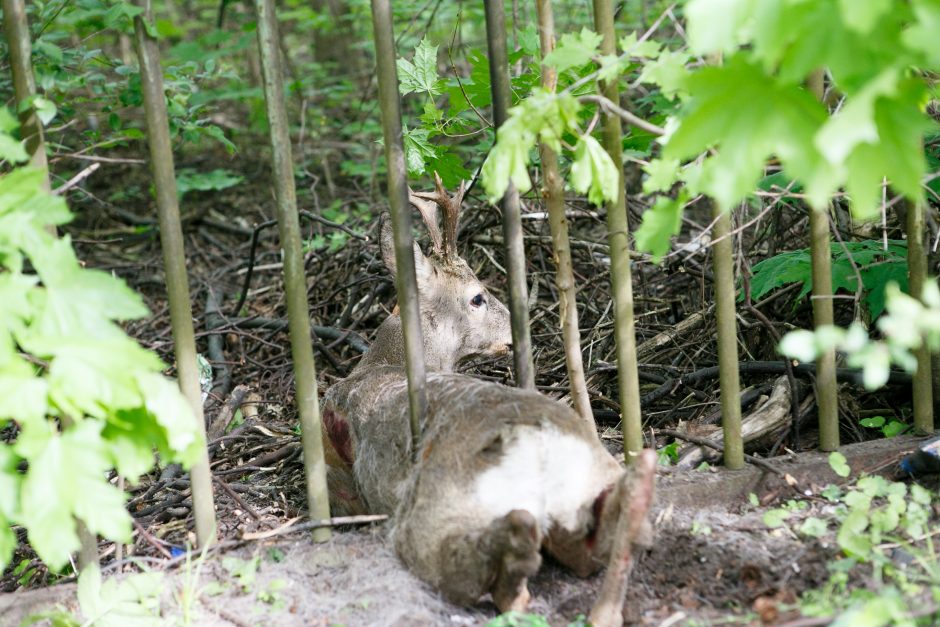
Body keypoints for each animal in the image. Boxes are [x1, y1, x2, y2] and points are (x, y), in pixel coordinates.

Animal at [322, 175, 652, 620]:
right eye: (477, 297)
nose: (517, 329)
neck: (382, 361)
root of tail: (544, 445)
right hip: (588, 480)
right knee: (588, 550)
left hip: (439, 501)